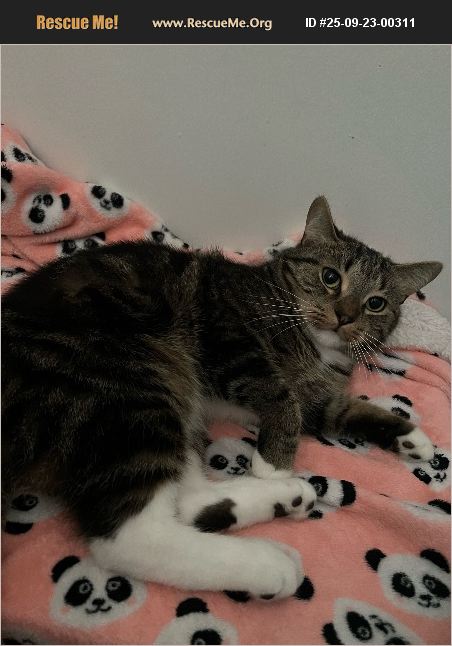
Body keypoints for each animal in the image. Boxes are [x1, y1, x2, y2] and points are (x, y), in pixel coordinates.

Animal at [2, 196, 442, 600]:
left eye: (376, 303)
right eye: (331, 277)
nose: (345, 316)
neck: (316, 348)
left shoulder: (318, 398)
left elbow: (343, 409)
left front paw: (412, 439)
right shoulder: (227, 335)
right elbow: (278, 394)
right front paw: (273, 465)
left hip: (165, 404)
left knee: (187, 501)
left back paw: (287, 498)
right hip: (125, 387)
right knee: (129, 534)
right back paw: (271, 564)